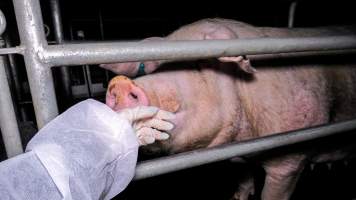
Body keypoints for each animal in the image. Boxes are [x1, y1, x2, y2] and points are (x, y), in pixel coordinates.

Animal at [100, 18, 356, 199]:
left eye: (199, 63)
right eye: (147, 67)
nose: (121, 84)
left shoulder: (290, 158)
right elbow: (244, 178)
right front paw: (237, 197)